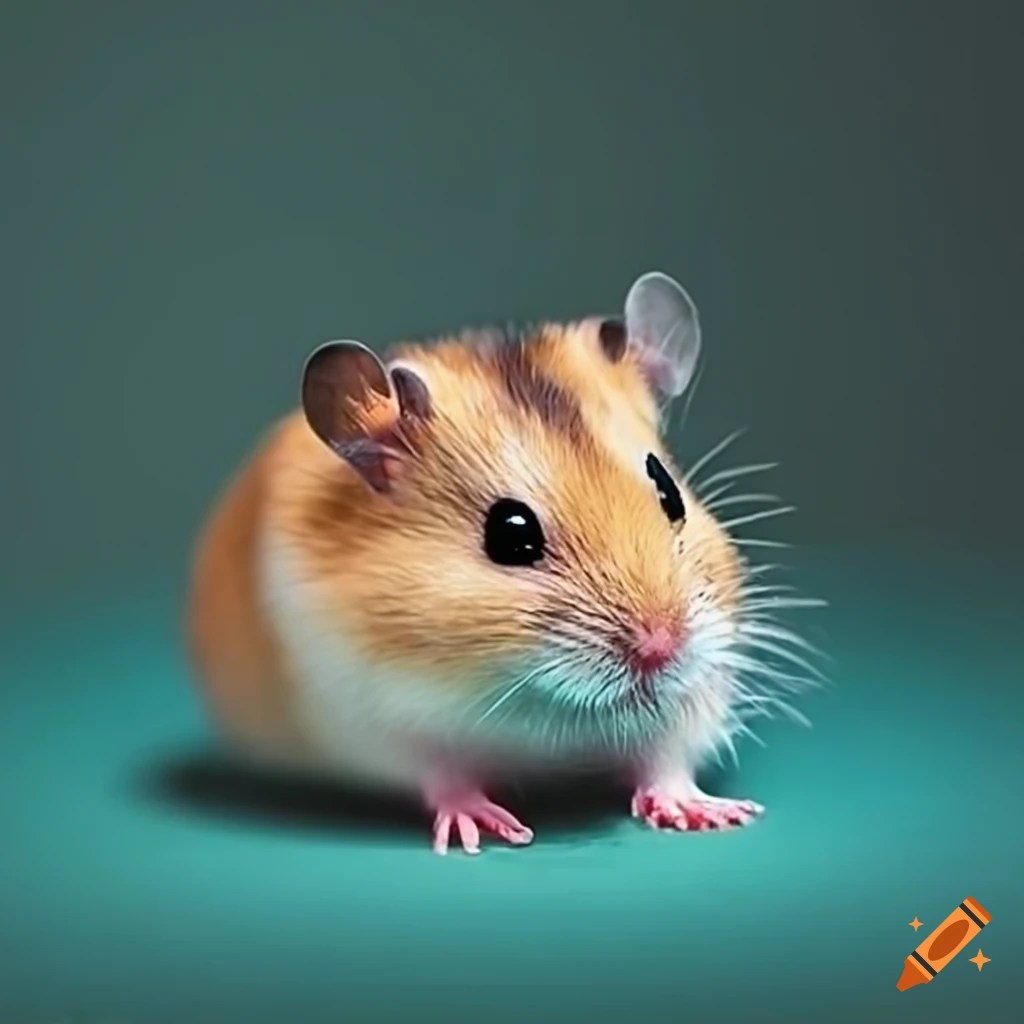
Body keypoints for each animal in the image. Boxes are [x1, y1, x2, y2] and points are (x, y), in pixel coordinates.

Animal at [185, 271, 812, 854]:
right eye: (511, 533)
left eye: (670, 493)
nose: (663, 648)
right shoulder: (378, 720)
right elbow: (444, 773)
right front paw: (488, 829)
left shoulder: (697, 690)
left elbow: (666, 759)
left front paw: (715, 814)